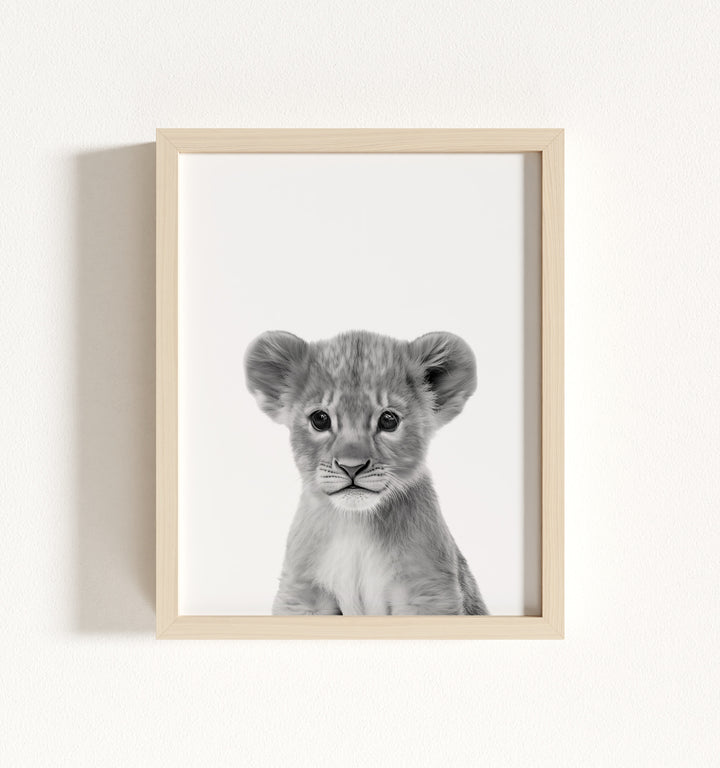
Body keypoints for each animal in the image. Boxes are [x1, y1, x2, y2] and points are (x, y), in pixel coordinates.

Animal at [244, 329, 488, 616]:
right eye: (320, 419)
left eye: (388, 420)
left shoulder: (428, 591)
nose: (351, 466)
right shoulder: (301, 593)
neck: (356, 524)